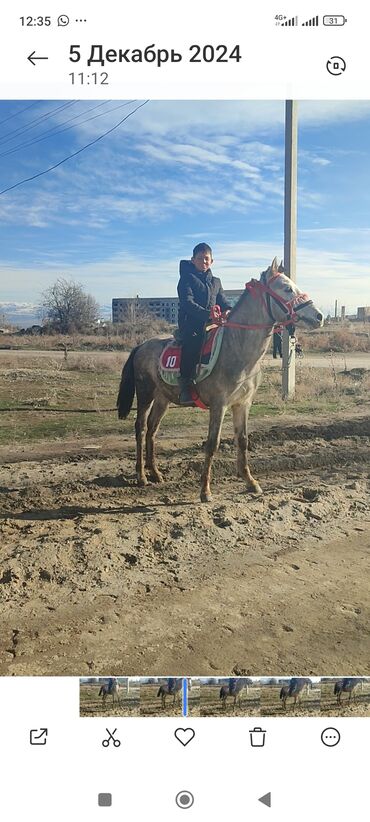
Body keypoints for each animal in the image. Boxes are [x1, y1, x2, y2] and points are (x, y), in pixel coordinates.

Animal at [117, 258, 322, 502]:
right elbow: (212, 444)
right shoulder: (219, 405)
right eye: (287, 288)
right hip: (145, 393)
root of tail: (141, 346)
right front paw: (205, 490)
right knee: (140, 428)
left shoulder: (242, 404)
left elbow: (242, 440)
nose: (319, 316)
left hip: (162, 399)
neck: (236, 349)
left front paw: (250, 482)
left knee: (152, 430)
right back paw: (141, 476)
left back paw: (156, 473)